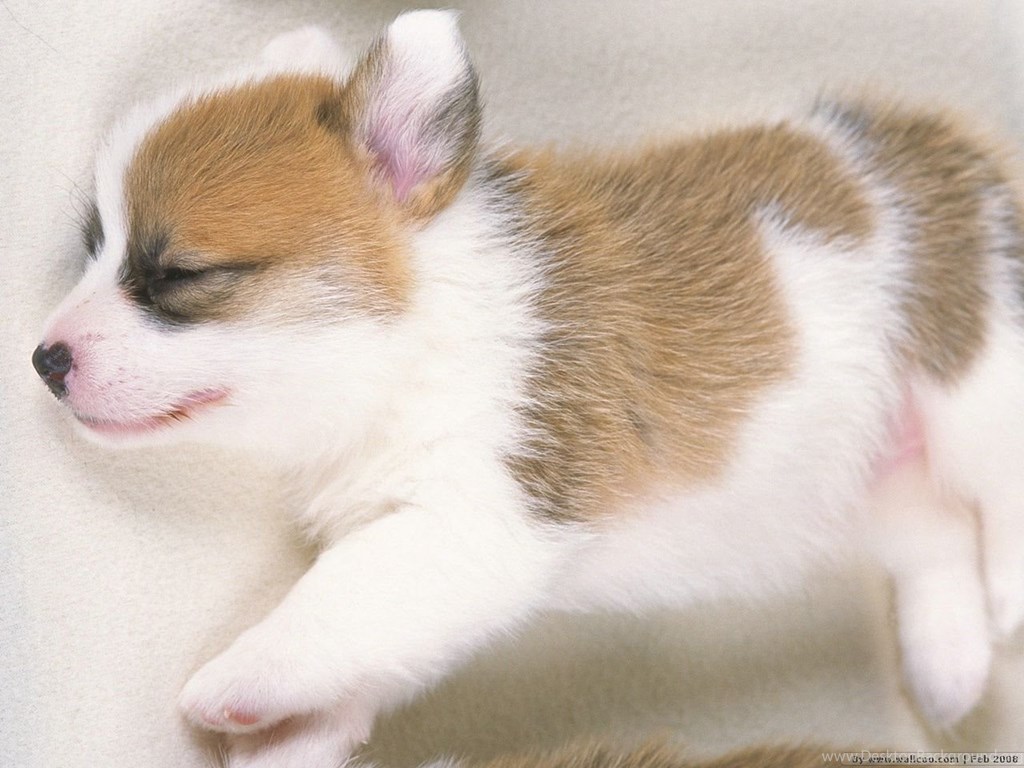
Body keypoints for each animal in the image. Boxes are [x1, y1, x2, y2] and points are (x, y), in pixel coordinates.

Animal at [33, 10, 1024, 767]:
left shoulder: (478, 520)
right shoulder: (434, 562)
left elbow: (332, 599)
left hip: (977, 377)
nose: (45, 359)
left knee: (996, 492)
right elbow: (363, 637)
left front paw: (233, 679)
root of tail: (949, 152)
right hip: (865, 475)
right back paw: (949, 668)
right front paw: (289, 739)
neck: (423, 332)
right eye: (96, 249)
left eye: (178, 275)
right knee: (935, 532)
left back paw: (1007, 598)